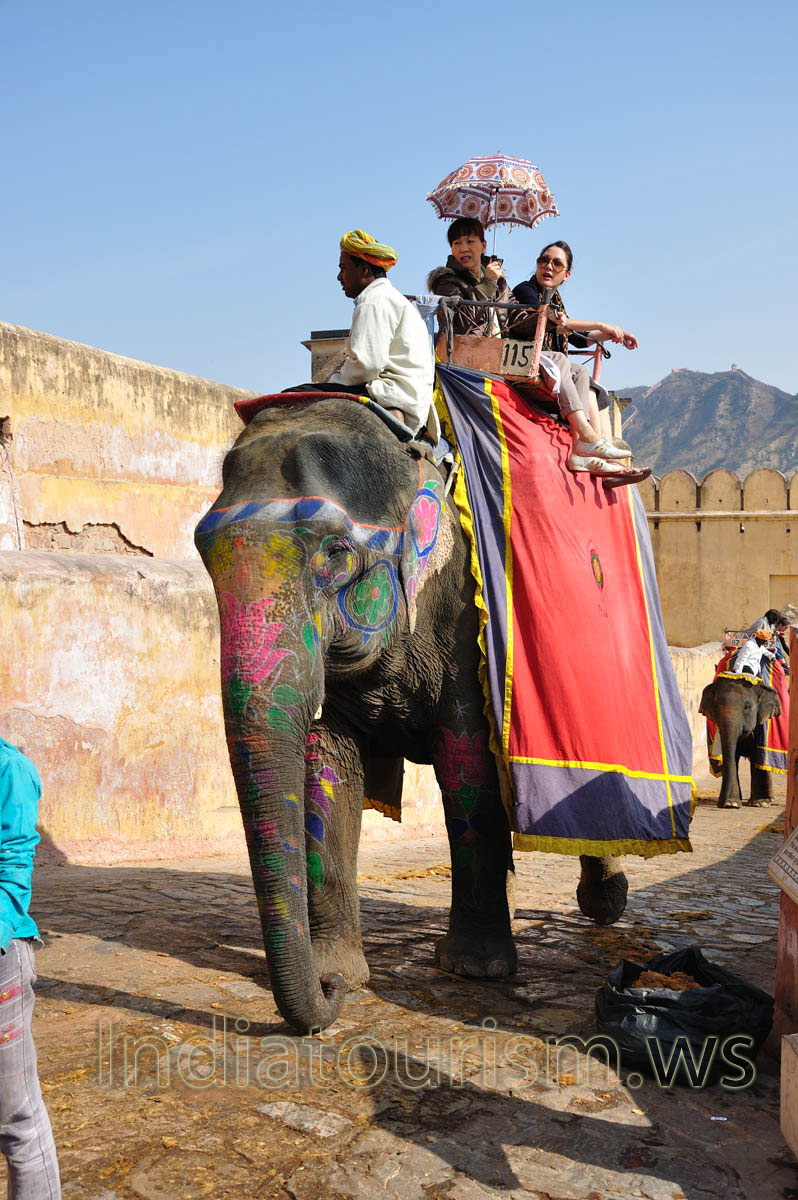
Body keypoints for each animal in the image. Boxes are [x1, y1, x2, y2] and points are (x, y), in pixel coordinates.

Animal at [195, 395, 629, 1034]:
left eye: (336, 554)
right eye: (204, 554)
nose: (325, 991)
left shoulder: (464, 621)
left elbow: (468, 762)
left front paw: (474, 970)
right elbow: (328, 761)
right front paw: (345, 974)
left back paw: (605, 905)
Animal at [699, 674, 781, 808]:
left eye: (747, 707)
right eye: (716, 707)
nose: (719, 805)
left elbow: (758, 755)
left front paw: (760, 803)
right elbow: (733, 755)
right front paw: (731, 803)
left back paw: (770, 799)